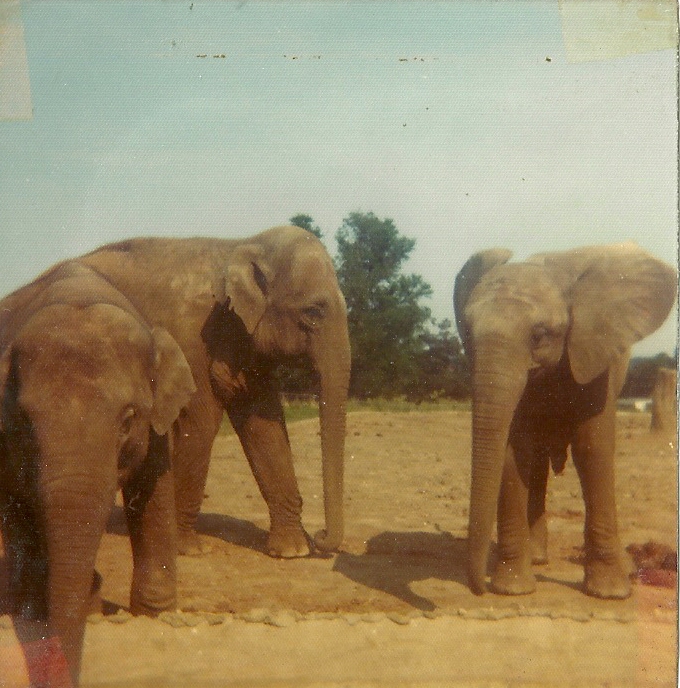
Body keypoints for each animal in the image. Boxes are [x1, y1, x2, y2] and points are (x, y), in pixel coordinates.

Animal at [0, 260, 196, 684]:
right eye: (24, 421)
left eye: (127, 421)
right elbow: (14, 506)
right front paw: (29, 610)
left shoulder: (156, 426)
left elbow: (152, 496)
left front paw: (153, 613)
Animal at [76, 225, 351, 558]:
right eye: (313, 312)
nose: (321, 537)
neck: (239, 247)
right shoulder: (190, 337)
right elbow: (200, 424)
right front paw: (189, 549)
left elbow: (265, 424)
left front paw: (292, 551)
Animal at [453, 242, 676, 599]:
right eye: (468, 335)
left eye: (538, 335)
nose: (479, 589)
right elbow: (515, 449)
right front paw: (512, 590)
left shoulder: (593, 348)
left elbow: (591, 448)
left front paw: (610, 593)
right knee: (537, 460)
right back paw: (537, 557)